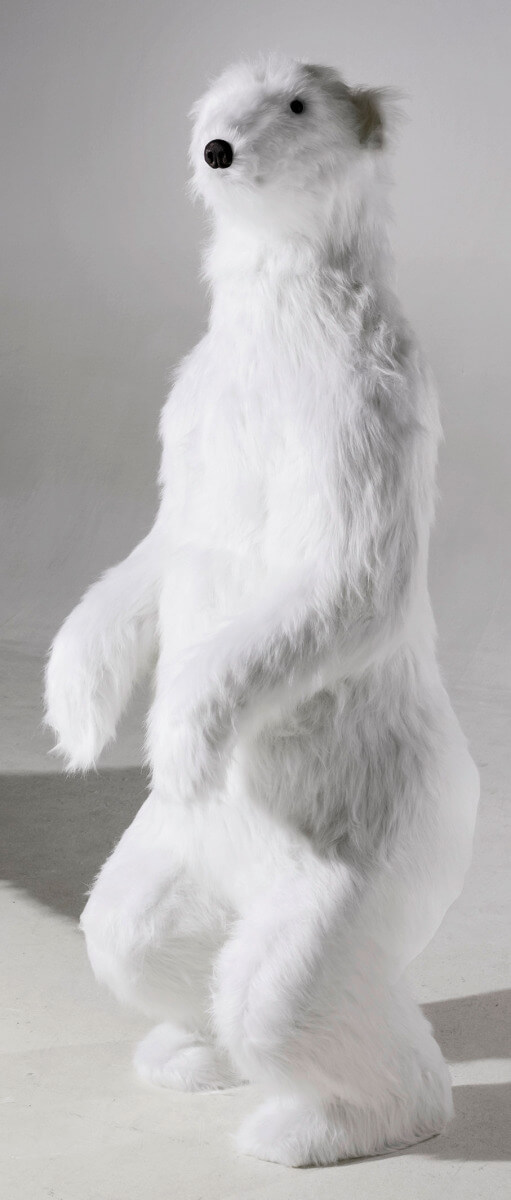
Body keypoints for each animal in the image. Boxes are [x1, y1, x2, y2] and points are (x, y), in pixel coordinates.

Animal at [45, 54, 480, 1166]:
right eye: (217, 100)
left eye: (295, 103)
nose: (216, 149)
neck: (281, 315)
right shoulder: (195, 411)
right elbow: (151, 557)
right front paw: (76, 716)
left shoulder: (357, 404)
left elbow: (341, 582)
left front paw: (177, 740)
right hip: (176, 862)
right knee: (136, 933)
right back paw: (186, 1054)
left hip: (364, 858)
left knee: (287, 994)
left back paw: (307, 1126)